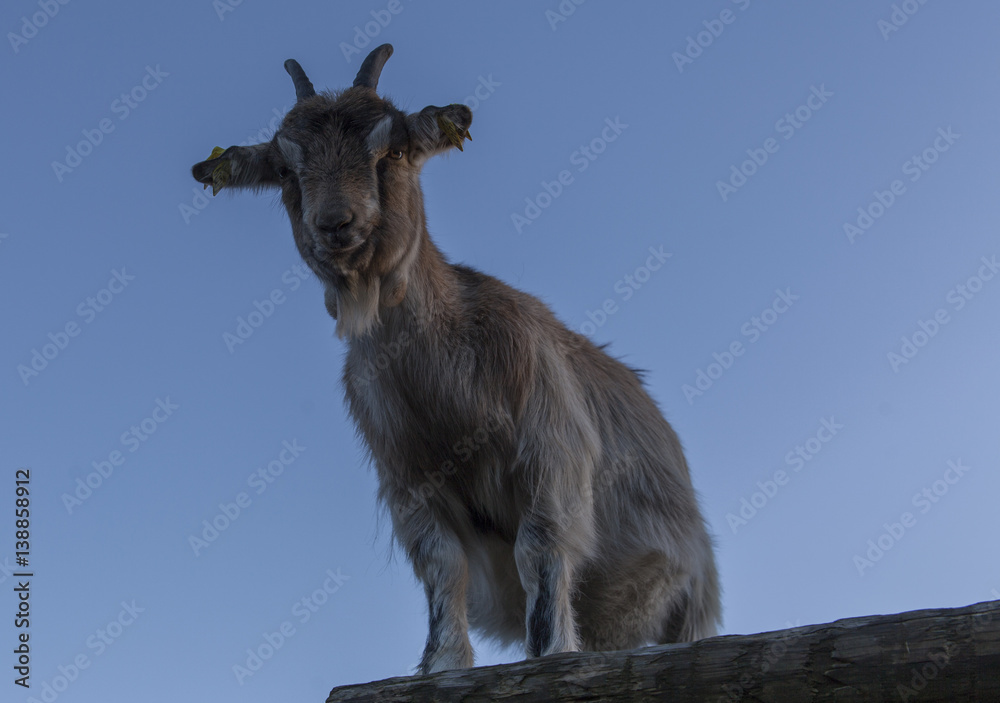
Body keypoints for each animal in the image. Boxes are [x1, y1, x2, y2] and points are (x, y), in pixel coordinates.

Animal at [192, 44, 721, 674]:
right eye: (285, 172)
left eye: (392, 149)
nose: (336, 224)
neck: (447, 394)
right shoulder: (409, 482)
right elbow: (443, 566)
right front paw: (441, 663)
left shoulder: (551, 449)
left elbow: (540, 550)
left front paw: (546, 652)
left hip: (693, 597)